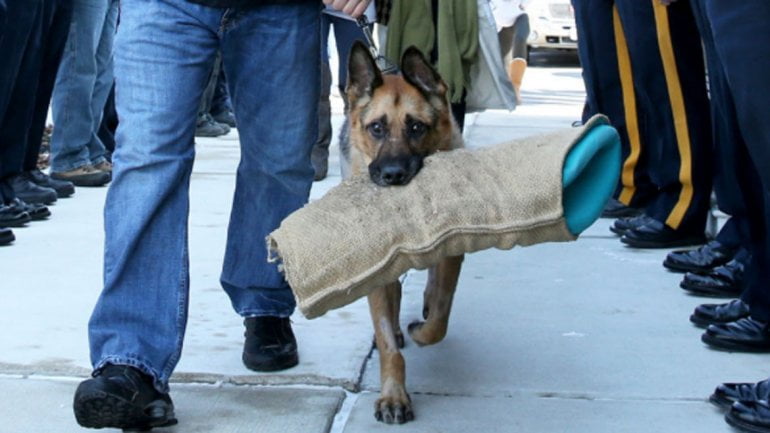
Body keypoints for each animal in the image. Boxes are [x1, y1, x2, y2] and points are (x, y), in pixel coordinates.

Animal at [346, 43, 464, 422]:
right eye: (376, 128)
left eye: (416, 127)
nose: (393, 175)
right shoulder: (377, 271)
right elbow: (387, 343)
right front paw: (393, 396)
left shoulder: (452, 253)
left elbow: (441, 311)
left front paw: (423, 331)